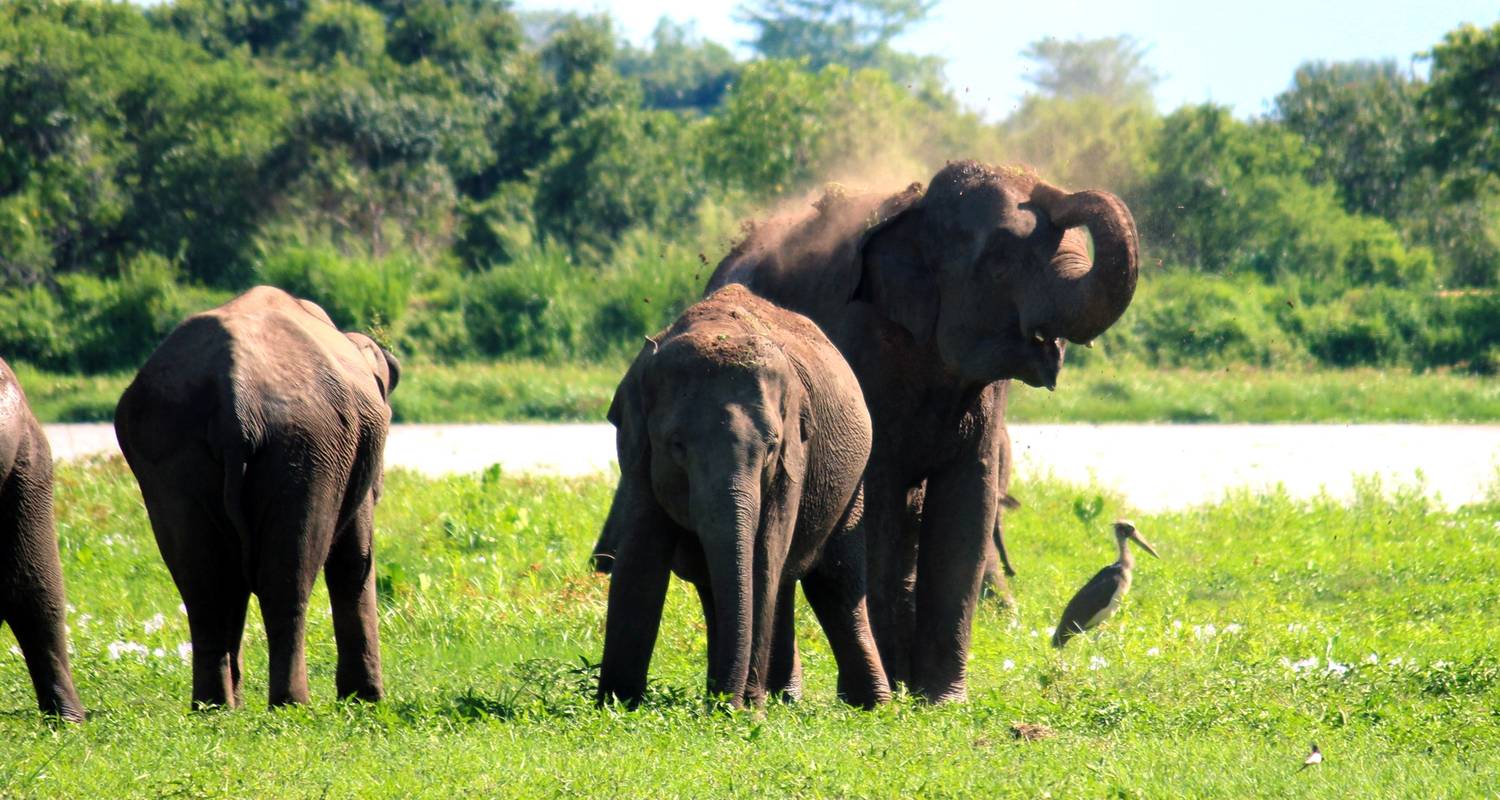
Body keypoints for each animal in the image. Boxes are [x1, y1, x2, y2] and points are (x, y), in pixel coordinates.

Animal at [114, 285, 399, 705]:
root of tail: (235, 396)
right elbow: (354, 559)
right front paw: (365, 701)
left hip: (170, 448)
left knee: (205, 586)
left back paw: (213, 707)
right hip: (305, 447)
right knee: (287, 580)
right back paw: (291, 705)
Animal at [591, 283, 882, 708]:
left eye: (771, 447)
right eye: (677, 445)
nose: (729, 706)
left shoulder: (795, 455)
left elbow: (766, 553)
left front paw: (745, 710)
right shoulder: (638, 450)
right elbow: (641, 557)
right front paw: (617, 705)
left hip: (852, 488)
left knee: (834, 585)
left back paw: (869, 705)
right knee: (721, 583)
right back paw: (772, 696)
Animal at [702, 160, 1134, 699]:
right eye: (1000, 261)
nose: (1053, 191)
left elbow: (967, 505)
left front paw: (942, 700)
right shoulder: (861, 348)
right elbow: (879, 501)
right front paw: (904, 691)